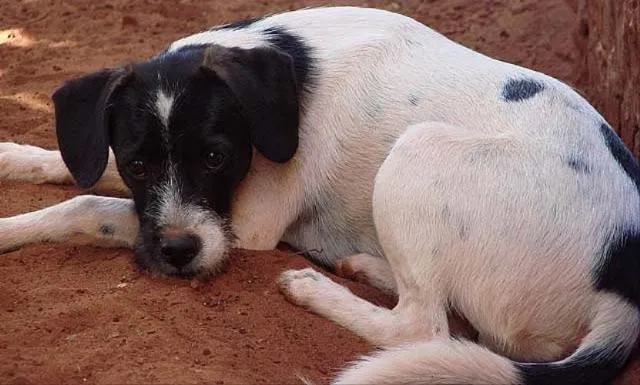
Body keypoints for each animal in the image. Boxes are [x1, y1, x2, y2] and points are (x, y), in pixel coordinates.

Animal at [1, 6, 640, 384]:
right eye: (138, 165)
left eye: (216, 158)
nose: (179, 254)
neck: (287, 63)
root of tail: (622, 287)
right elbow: (80, 172)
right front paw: (13, 156)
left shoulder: (244, 225)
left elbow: (88, 207)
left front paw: (10, 230)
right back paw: (361, 264)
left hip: (417, 152)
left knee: (424, 328)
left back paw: (315, 286)